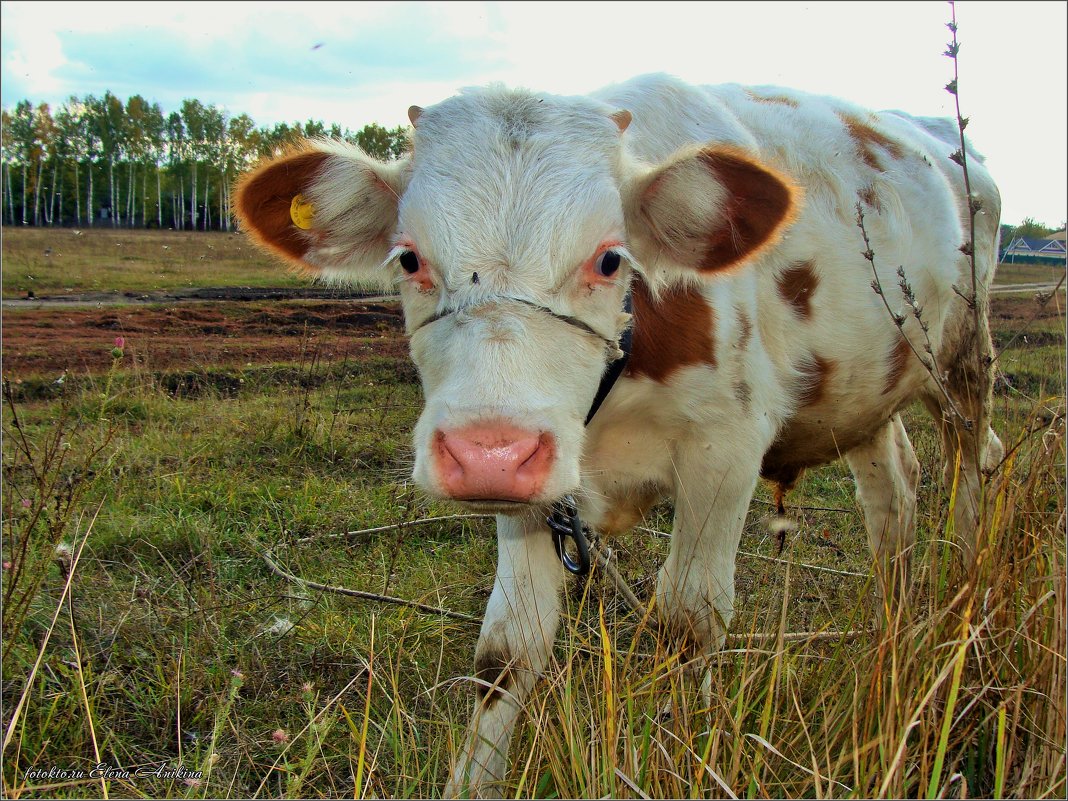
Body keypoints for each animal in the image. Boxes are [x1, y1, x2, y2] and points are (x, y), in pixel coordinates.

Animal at [233, 73, 999, 798]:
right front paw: (473, 781)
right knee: (893, 490)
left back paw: (966, 606)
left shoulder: (725, 449)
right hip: (869, 389)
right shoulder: (536, 486)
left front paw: (683, 764)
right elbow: (507, 648)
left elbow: (688, 623)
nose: (487, 453)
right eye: (408, 258)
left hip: (964, 356)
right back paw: (894, 626)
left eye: (609, 260)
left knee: (975, 463)